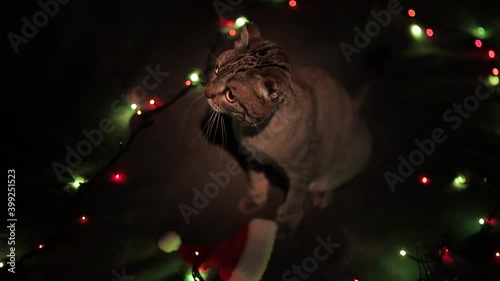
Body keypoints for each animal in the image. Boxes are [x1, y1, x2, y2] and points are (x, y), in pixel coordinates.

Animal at [203, 24, 372, 238]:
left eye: (230, 95)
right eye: (216, 69)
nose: (206, 92)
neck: (255, 134)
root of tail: (354, 108)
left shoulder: (302, 171)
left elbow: (293, 202)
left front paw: (285, 223)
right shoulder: (253, 158)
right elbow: (257, 182)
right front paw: (255, 200)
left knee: (331, 179)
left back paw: (322, 193)